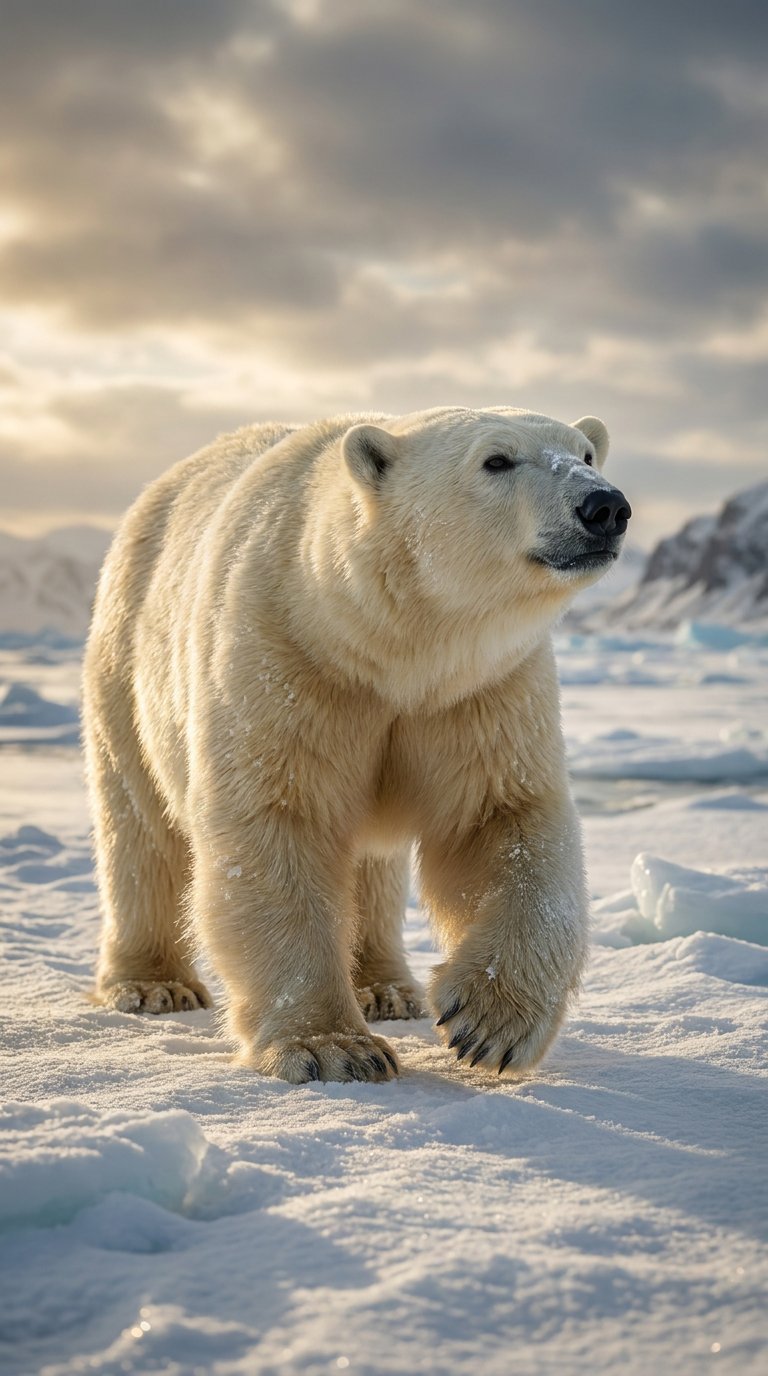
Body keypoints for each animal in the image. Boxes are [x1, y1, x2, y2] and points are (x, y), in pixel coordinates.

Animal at [83, 406, 631, 1083]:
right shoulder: (287, 660)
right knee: (140, 826)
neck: (387, 647)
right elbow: (279, 824)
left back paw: (387, 988)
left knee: (373, 866)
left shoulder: (481, 690)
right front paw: (332, 1049)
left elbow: (503, 820)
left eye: (586, 453)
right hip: (126, 659)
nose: (604, 506)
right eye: (496, 459)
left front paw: (488, 1022)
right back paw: (153, 984)